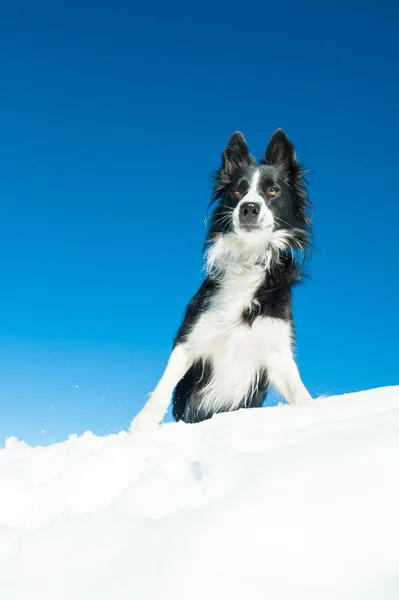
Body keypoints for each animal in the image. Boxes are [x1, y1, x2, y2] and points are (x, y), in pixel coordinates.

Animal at [130, 127, 314, 432]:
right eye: (237, 190)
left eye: (272, 190)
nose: (249, 207)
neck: (247, 258)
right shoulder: (192, 336)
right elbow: (163, 385)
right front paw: (142, 425)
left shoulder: (275, 347)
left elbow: (299, 393)